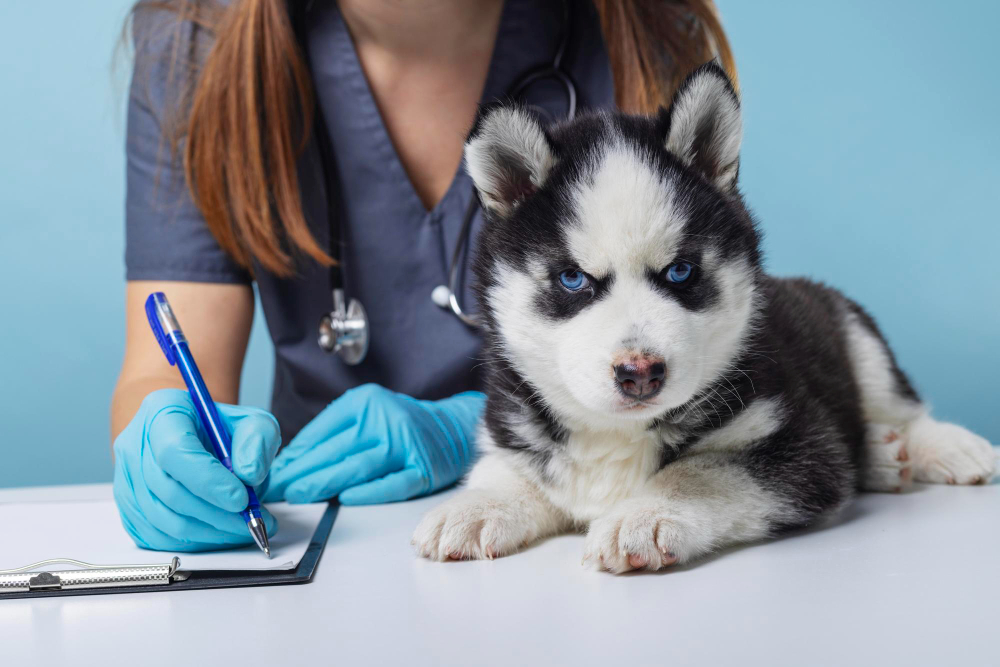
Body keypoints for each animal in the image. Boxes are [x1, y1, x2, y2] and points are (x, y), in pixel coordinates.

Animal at [412, 63, 997, 572]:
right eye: (573, 279)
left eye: (680, 271)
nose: (640, 373)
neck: (615, 435)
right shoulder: (510, 428)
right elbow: (506, 469)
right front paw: (477, 504)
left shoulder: (800, 441)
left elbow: (703, 471)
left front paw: (643, 515)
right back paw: (881, 454)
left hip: (855, 333)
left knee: (900, 406)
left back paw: (938, 446)